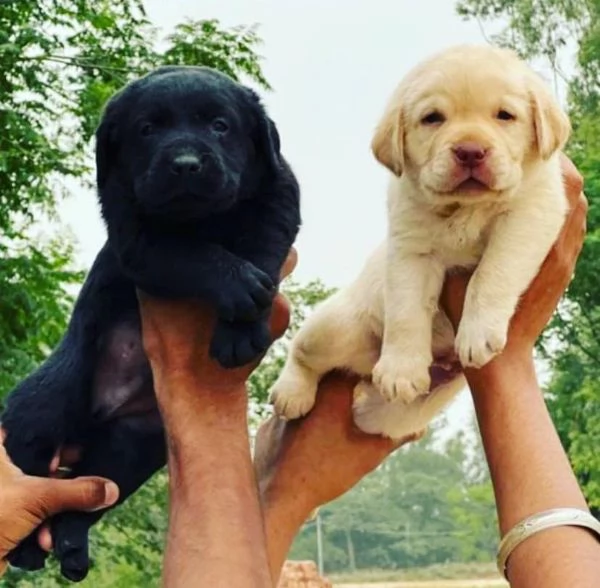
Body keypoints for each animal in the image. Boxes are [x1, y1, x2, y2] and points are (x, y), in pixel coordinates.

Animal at [0, 66, 300, 580]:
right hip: (44, 409)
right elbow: (190, 253)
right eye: (146, 129)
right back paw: (25, 552)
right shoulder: (136, 235)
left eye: (220, 126)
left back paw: (72, 550)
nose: (185, 164)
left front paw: (243, 326)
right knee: (32, 468)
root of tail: (101, 414)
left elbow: (262, 240)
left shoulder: (278, 194)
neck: (202, 219)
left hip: (133, 447)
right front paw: (238, 285)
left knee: (84, 501)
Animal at [270, 46, 568, 438]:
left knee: (386, 418)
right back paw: (291, 392)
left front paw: (476, 332)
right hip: (335, 328)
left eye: (505, 115)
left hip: (422, 401)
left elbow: (493, 272)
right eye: (433, 118)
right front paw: (401, 369)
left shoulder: (530, 213)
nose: (470, 151)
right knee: (301, 351)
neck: (465, 206)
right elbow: (407, 309)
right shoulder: (409, 246)